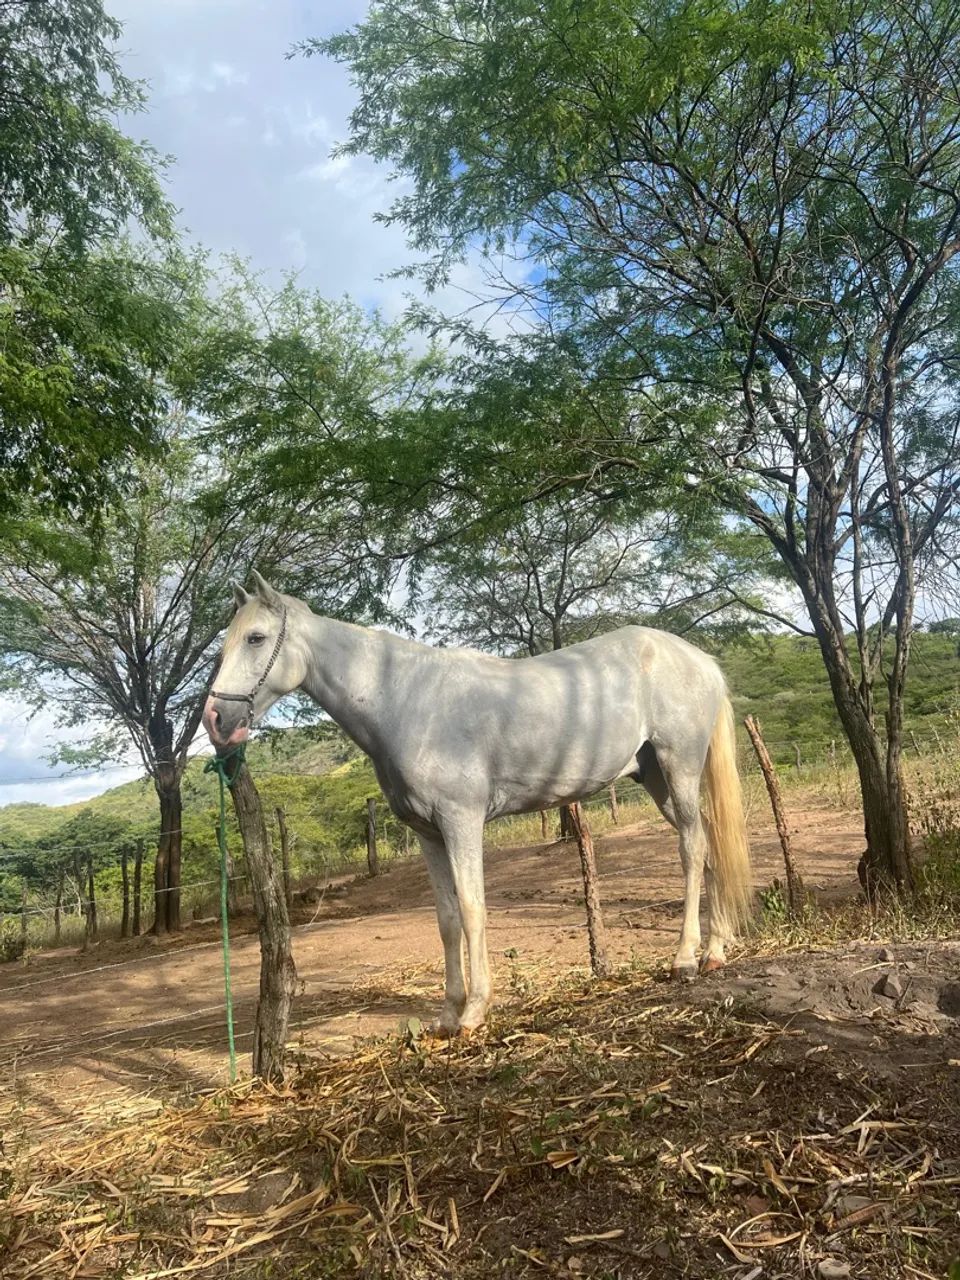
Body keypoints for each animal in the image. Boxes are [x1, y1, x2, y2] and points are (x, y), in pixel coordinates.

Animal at [203, 572, 752, 1034]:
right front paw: (447, 1015)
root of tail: (699, 659)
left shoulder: (461, 822)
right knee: (708, 846)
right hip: (657, 780)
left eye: (255, 638)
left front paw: (475, 1012)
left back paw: (686, 958)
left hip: (679, 768)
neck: (404, 699)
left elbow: (472, 909)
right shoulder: (427, 833)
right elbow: (446, 920)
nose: (215, 720)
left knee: (692, 849)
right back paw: (715, 949)